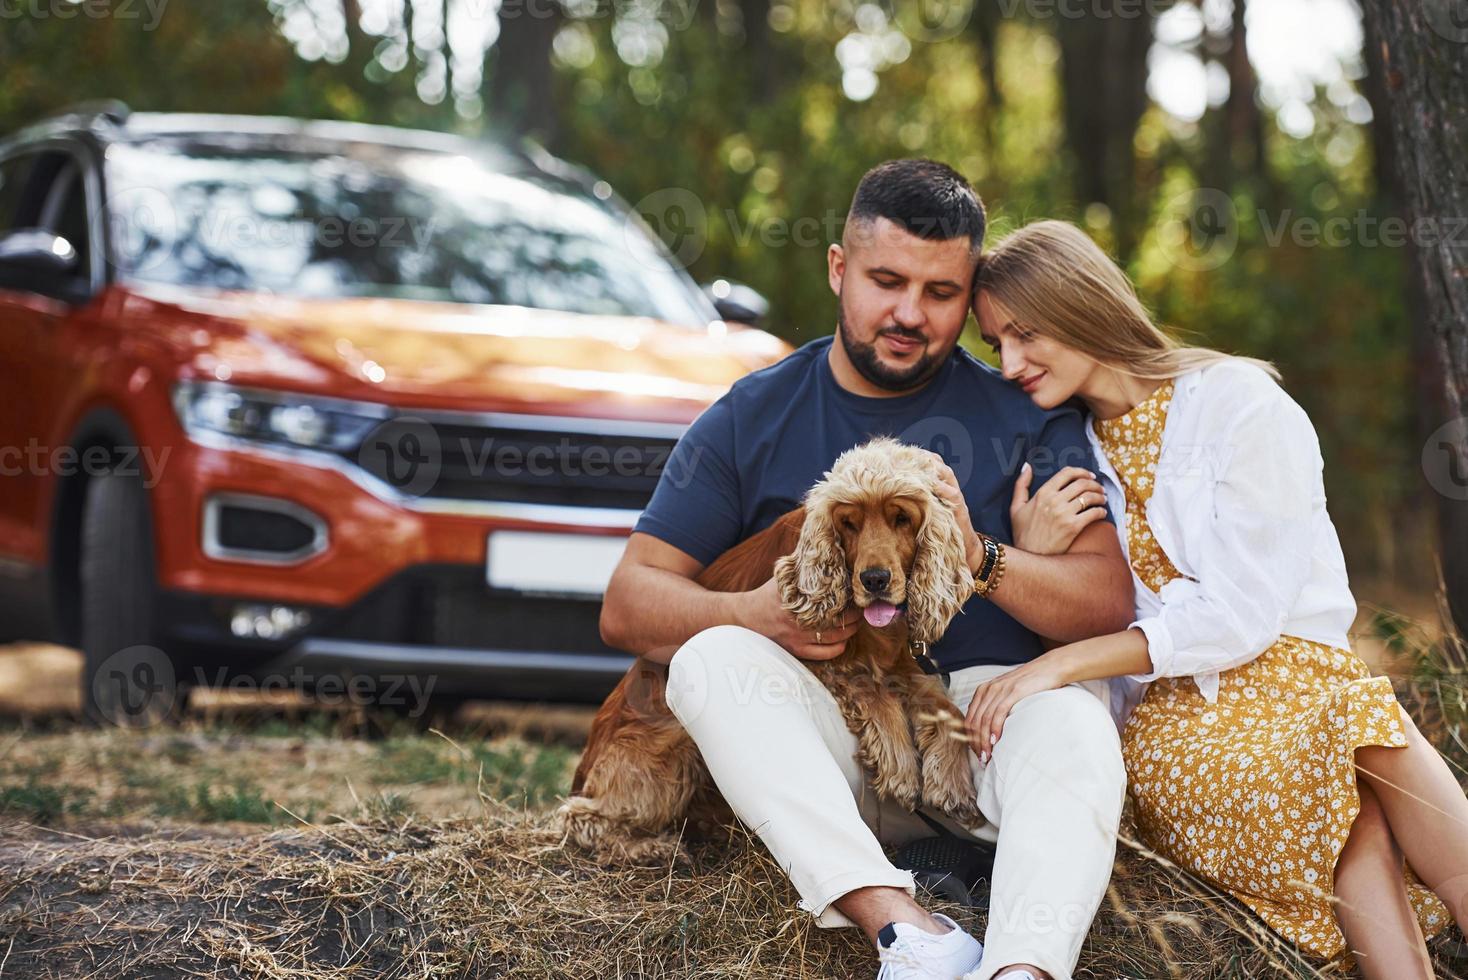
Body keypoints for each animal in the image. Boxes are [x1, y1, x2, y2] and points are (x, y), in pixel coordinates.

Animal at [554, 440, 980, 862]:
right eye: (849, 523)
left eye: (901, 519)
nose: (875, 579)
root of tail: (584, 766)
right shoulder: (821, 652)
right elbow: (873, 691)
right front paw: (902, 768)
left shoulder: (902, 660)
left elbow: (944, 705)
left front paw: (952, 783)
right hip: (670, 754)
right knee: (579, 815)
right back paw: (650, 847)